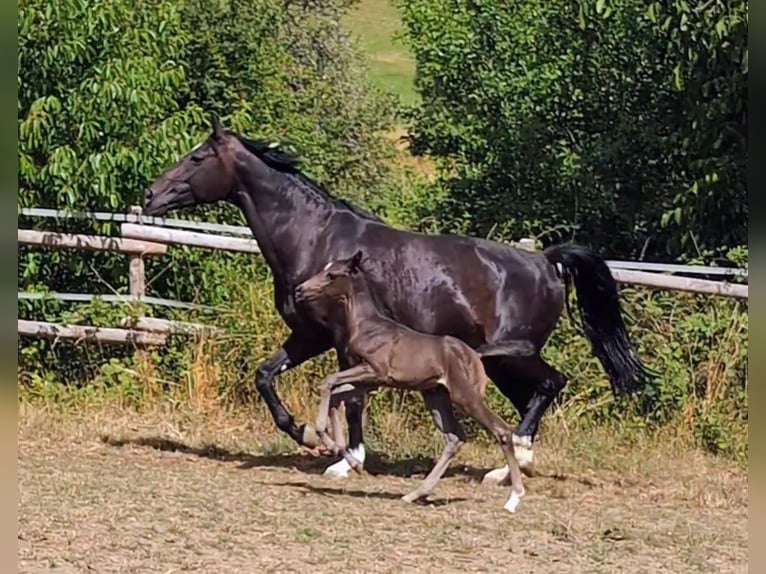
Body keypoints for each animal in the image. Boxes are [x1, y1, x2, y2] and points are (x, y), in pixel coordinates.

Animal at [143, 115, 653, 484]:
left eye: (197, 157)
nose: (150, 195)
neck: (314, 240)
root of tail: (547, 263)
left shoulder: (340, 340)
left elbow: (350, 397)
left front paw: (344, 458)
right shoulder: (309, 335)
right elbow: (266, 377)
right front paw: (307, 435)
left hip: (513, 352)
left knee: (551, 384)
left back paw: (507, 466)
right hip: (502, 362)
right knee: (535, 395)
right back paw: (511, 465)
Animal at [295, 250, 529, 512]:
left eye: (332, 275)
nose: (300, 290)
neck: (367, 326)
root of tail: (475, 356)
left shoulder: (374, 371)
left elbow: (328, 382)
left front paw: (325, 438)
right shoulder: (369, 380)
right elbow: (336, 395)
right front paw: (346, 456)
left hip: (465, 396)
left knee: (500, 430)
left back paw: (514, 498)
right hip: (436, 396)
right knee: (454, 438)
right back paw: (415, 494)